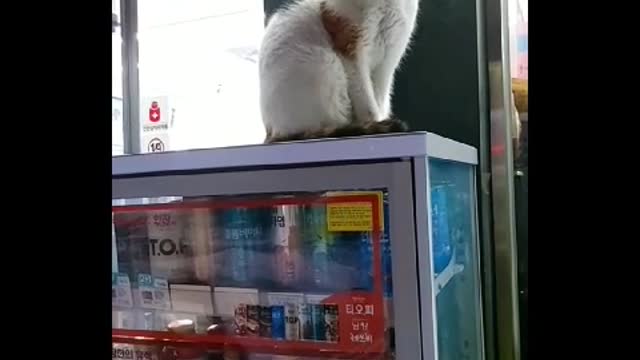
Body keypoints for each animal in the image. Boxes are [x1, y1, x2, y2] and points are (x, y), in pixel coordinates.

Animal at [260, 0, 420, 143]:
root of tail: (270, 130)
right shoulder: (352, 53)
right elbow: (367, 102)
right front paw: (375, 123)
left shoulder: (388, 61)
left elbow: (379, 99)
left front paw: (381, 119)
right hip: (326, 61)